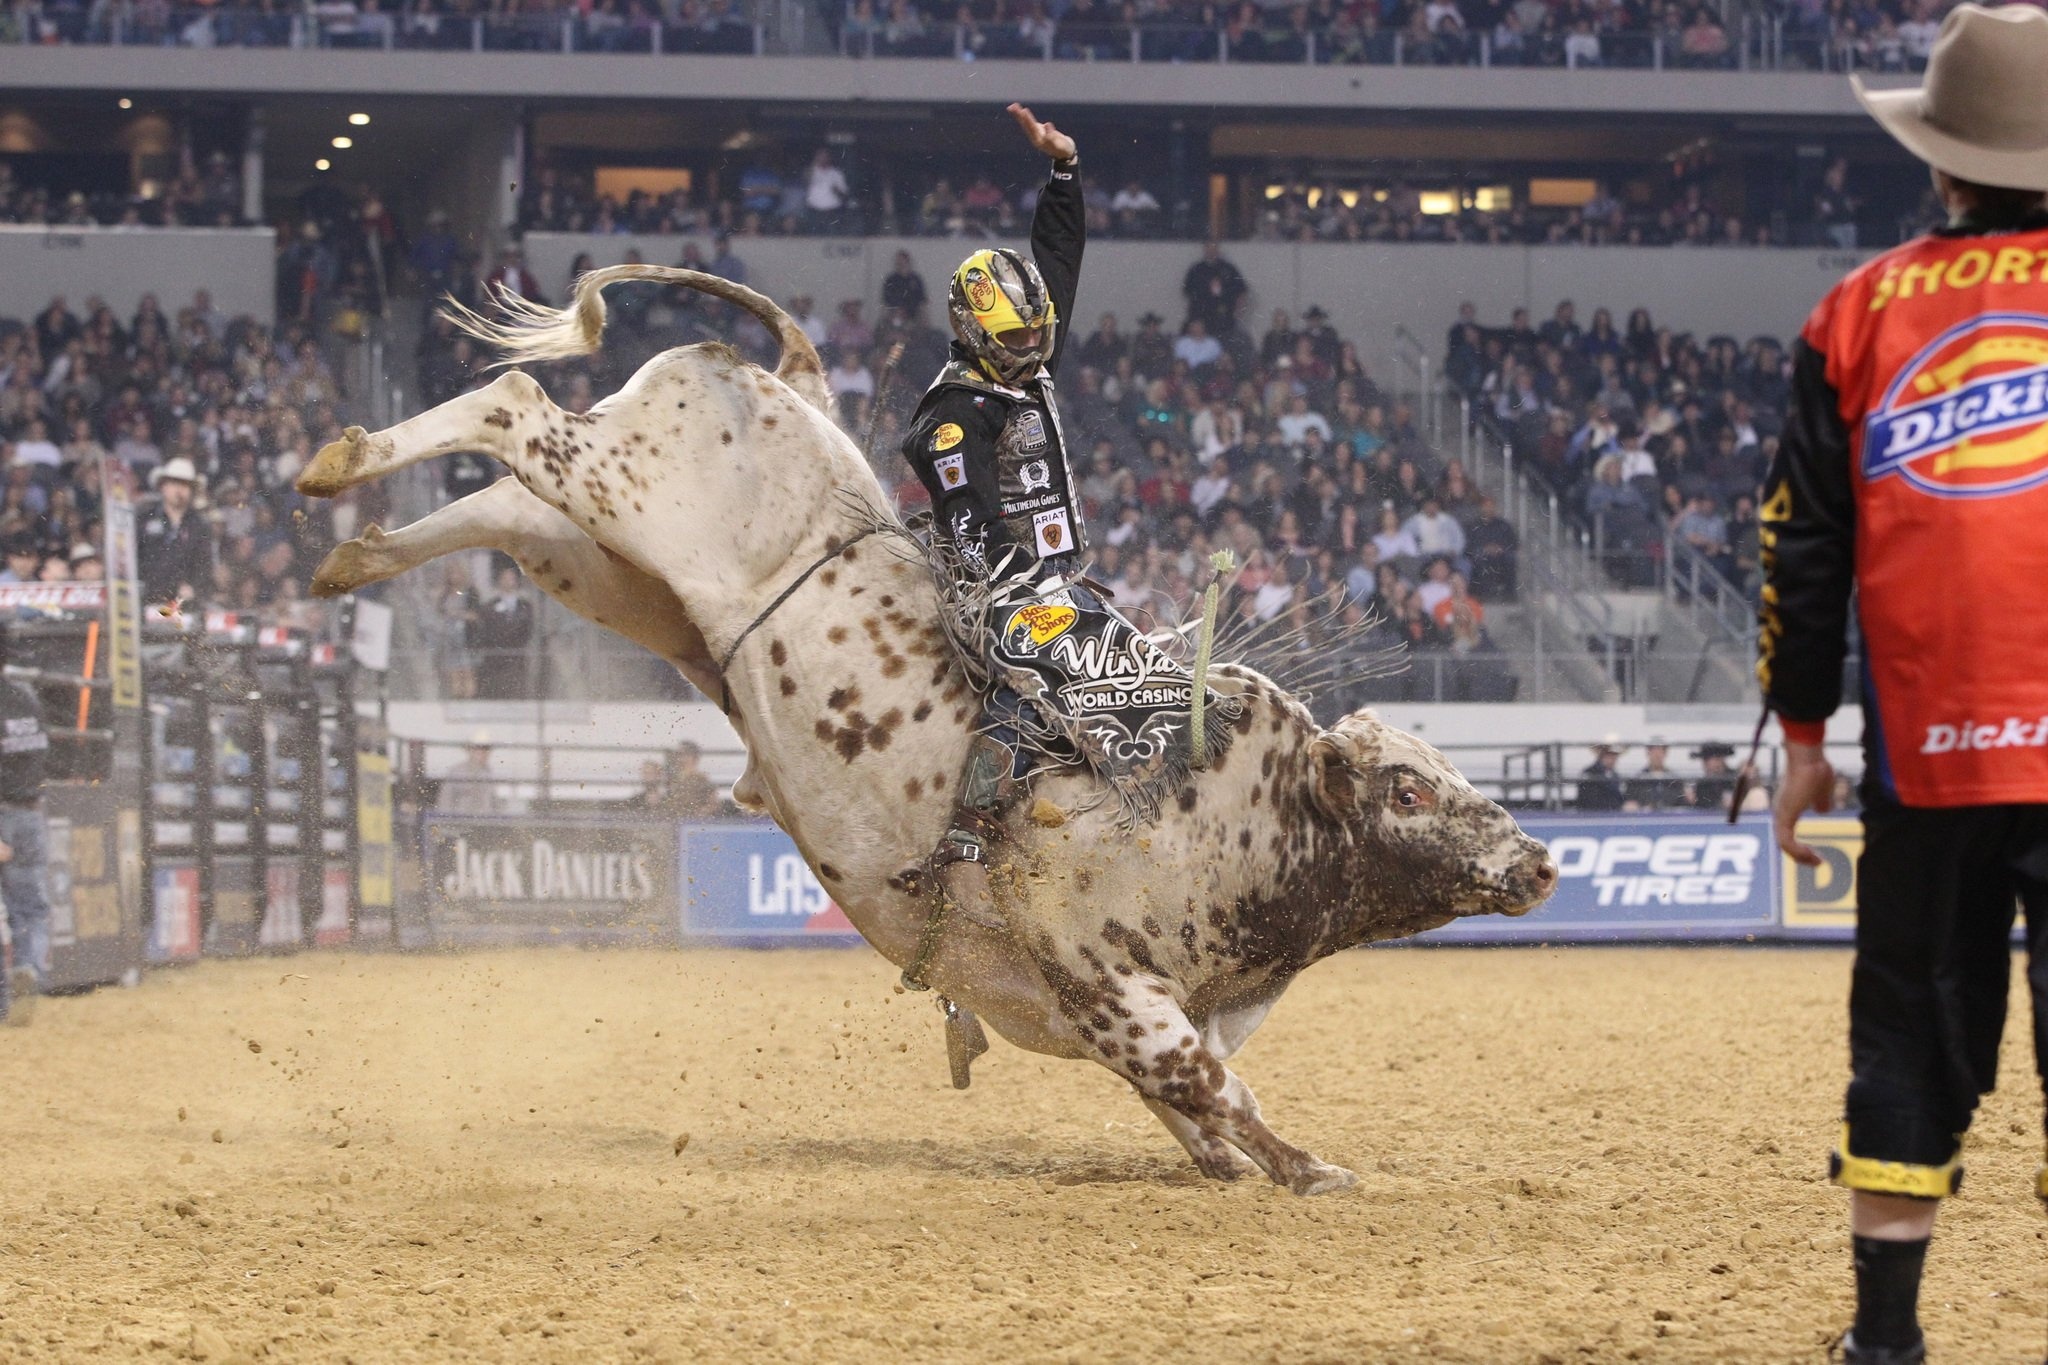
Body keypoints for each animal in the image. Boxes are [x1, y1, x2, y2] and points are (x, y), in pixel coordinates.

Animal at [296, 266, 1556, 1195]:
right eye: (1405, 790)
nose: (1540, 861)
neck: (1241, 816)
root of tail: (789, 383)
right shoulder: (1104, 977)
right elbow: (1210, 1086)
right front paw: (1308, 1168)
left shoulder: (1162, 1013)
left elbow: (1195, 1102)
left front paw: (1242, 1164)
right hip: (626, 486)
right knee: (512, 403)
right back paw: (337, 462)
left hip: (617, 572)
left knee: (507, 503)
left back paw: (352, 551)